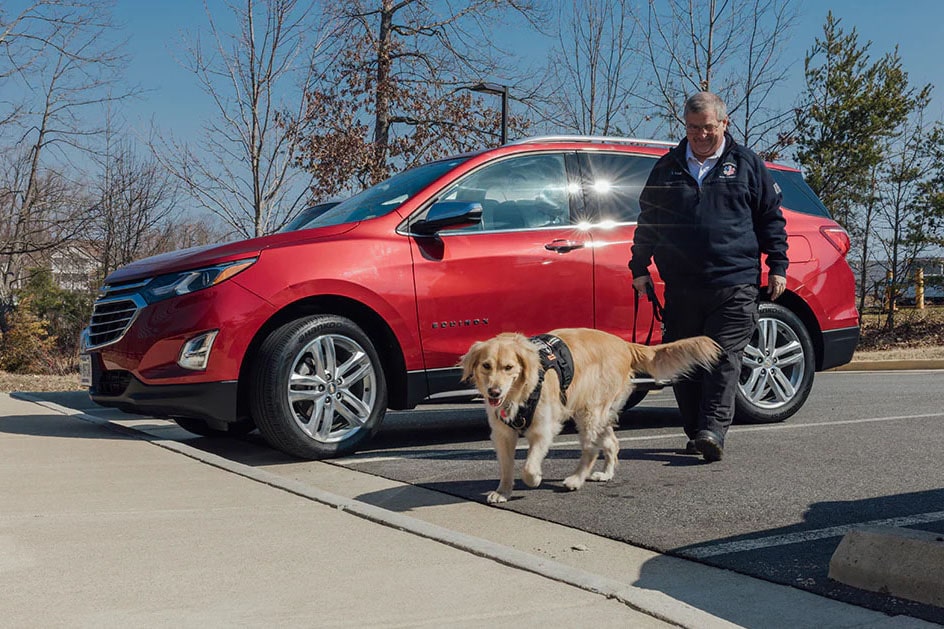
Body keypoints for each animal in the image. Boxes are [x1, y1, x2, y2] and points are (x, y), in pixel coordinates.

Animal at [460, 326, 720, 502]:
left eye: (509, 368)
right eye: (486, 366)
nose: (494, 391)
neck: (520, 393)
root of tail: (624, 344)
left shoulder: (543, 427)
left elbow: (528, 467)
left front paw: (534, 479)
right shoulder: (502, 433)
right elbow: (506, 466)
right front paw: (503, 491)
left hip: (590, 412)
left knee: (591, 450)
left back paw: (576, 479)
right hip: (596, 413)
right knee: (612, 443)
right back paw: (605, 474)